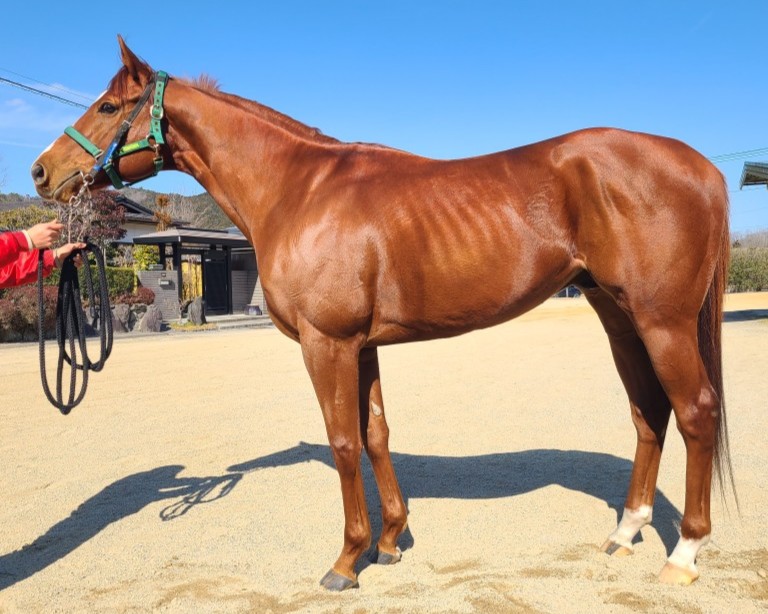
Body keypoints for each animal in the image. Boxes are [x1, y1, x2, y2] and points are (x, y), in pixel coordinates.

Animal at [31, 36, 733, 590]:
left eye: (108, 106)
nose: (41, 172)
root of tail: (702, 167)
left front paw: (347, 559)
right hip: (618, 316)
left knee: (696, 412)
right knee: (649, 413)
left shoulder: (328, 343)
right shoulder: (362, 345)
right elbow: (375, 434)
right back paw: (627, 531)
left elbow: (344, 442)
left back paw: (683, 553)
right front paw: (391, 541)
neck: (298, 190)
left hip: (662, 322)